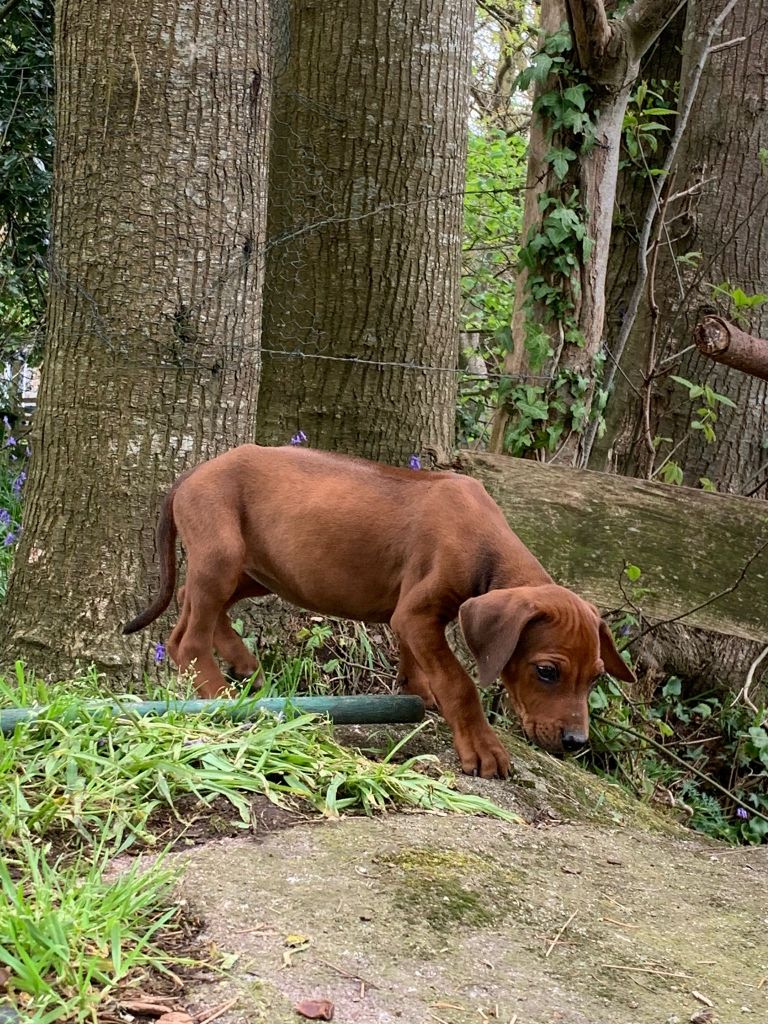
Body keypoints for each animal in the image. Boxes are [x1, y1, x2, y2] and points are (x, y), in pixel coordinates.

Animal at [123, 446, 634, 774]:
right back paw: (222, 695)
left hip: (257, 567)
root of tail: (191, 474)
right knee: (186, 637)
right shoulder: (416, 613)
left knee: (190, 605)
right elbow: (460, 683)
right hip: (224, 554)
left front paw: (418, 690)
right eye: (546, 672)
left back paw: (243, 663)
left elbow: (418, 661)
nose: (576, 744)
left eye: (595, 678)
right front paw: (481, 747)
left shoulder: (409, 615)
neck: (487, 546)